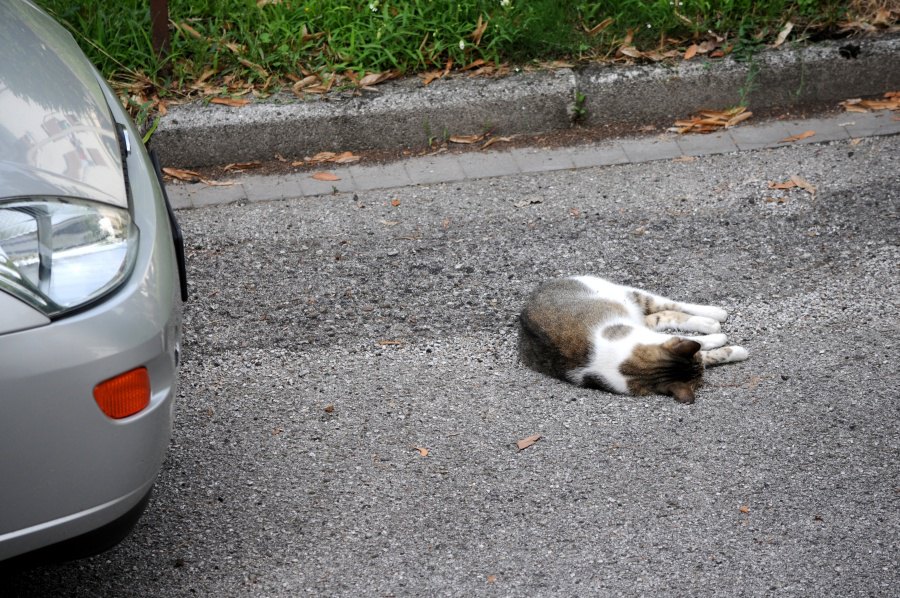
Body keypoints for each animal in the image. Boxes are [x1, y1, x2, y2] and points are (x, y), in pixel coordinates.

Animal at [516, 278, 748, 406]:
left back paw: (714, 313)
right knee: (664, 314)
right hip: (637, 312)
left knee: (672, 305)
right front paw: (730, 347)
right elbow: (708, 351)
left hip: (628, 294)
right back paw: (712, 324)